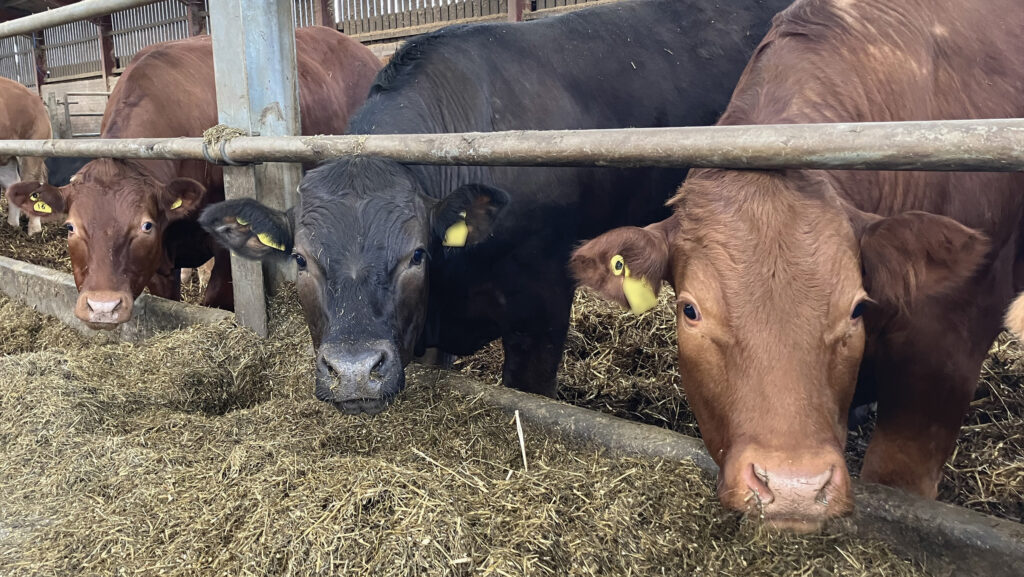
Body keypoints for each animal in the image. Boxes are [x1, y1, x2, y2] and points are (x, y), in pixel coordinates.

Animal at [0, 76, 51, 236]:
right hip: (6, 157)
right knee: (12, 183)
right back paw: (12, 225)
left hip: (32, 151)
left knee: (31, 184)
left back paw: (34, 231)